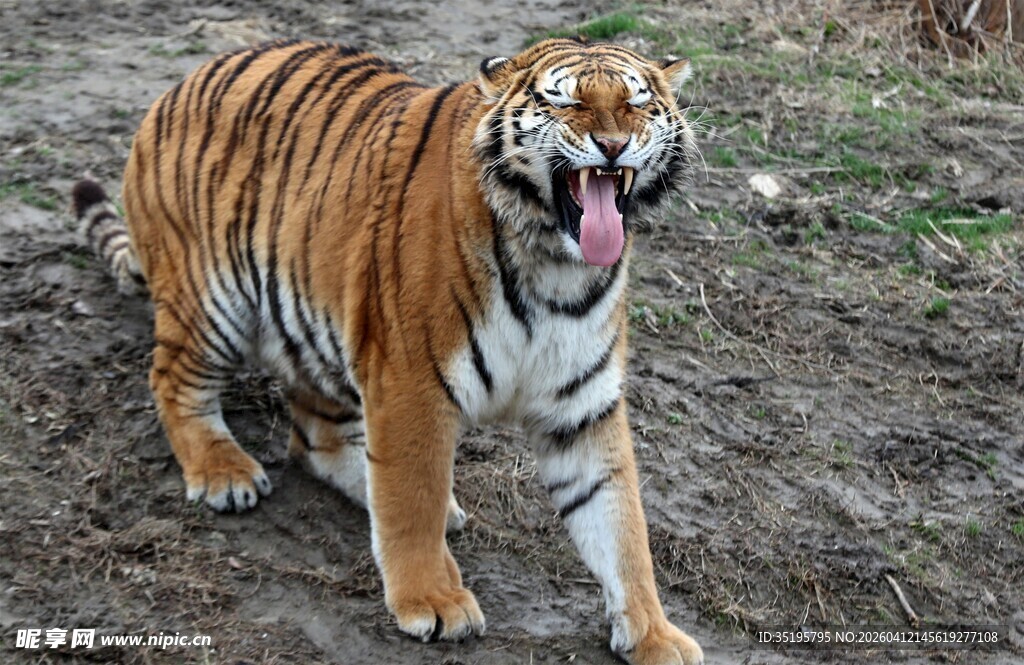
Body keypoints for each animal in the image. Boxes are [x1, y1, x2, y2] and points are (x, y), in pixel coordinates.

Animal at [72, 37, 702, 664]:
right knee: (172, 380)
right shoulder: (411, 381)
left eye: (637, 103)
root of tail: (177, 87)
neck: (557, 268)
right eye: (565, 102)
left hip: (323, 330)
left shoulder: (584, 406)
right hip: (211, 300)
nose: (613, 146)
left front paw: (654, 635)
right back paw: (223, 473)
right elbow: (411, 495)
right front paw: (434, 601)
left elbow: (621, 525)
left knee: (318, 442)